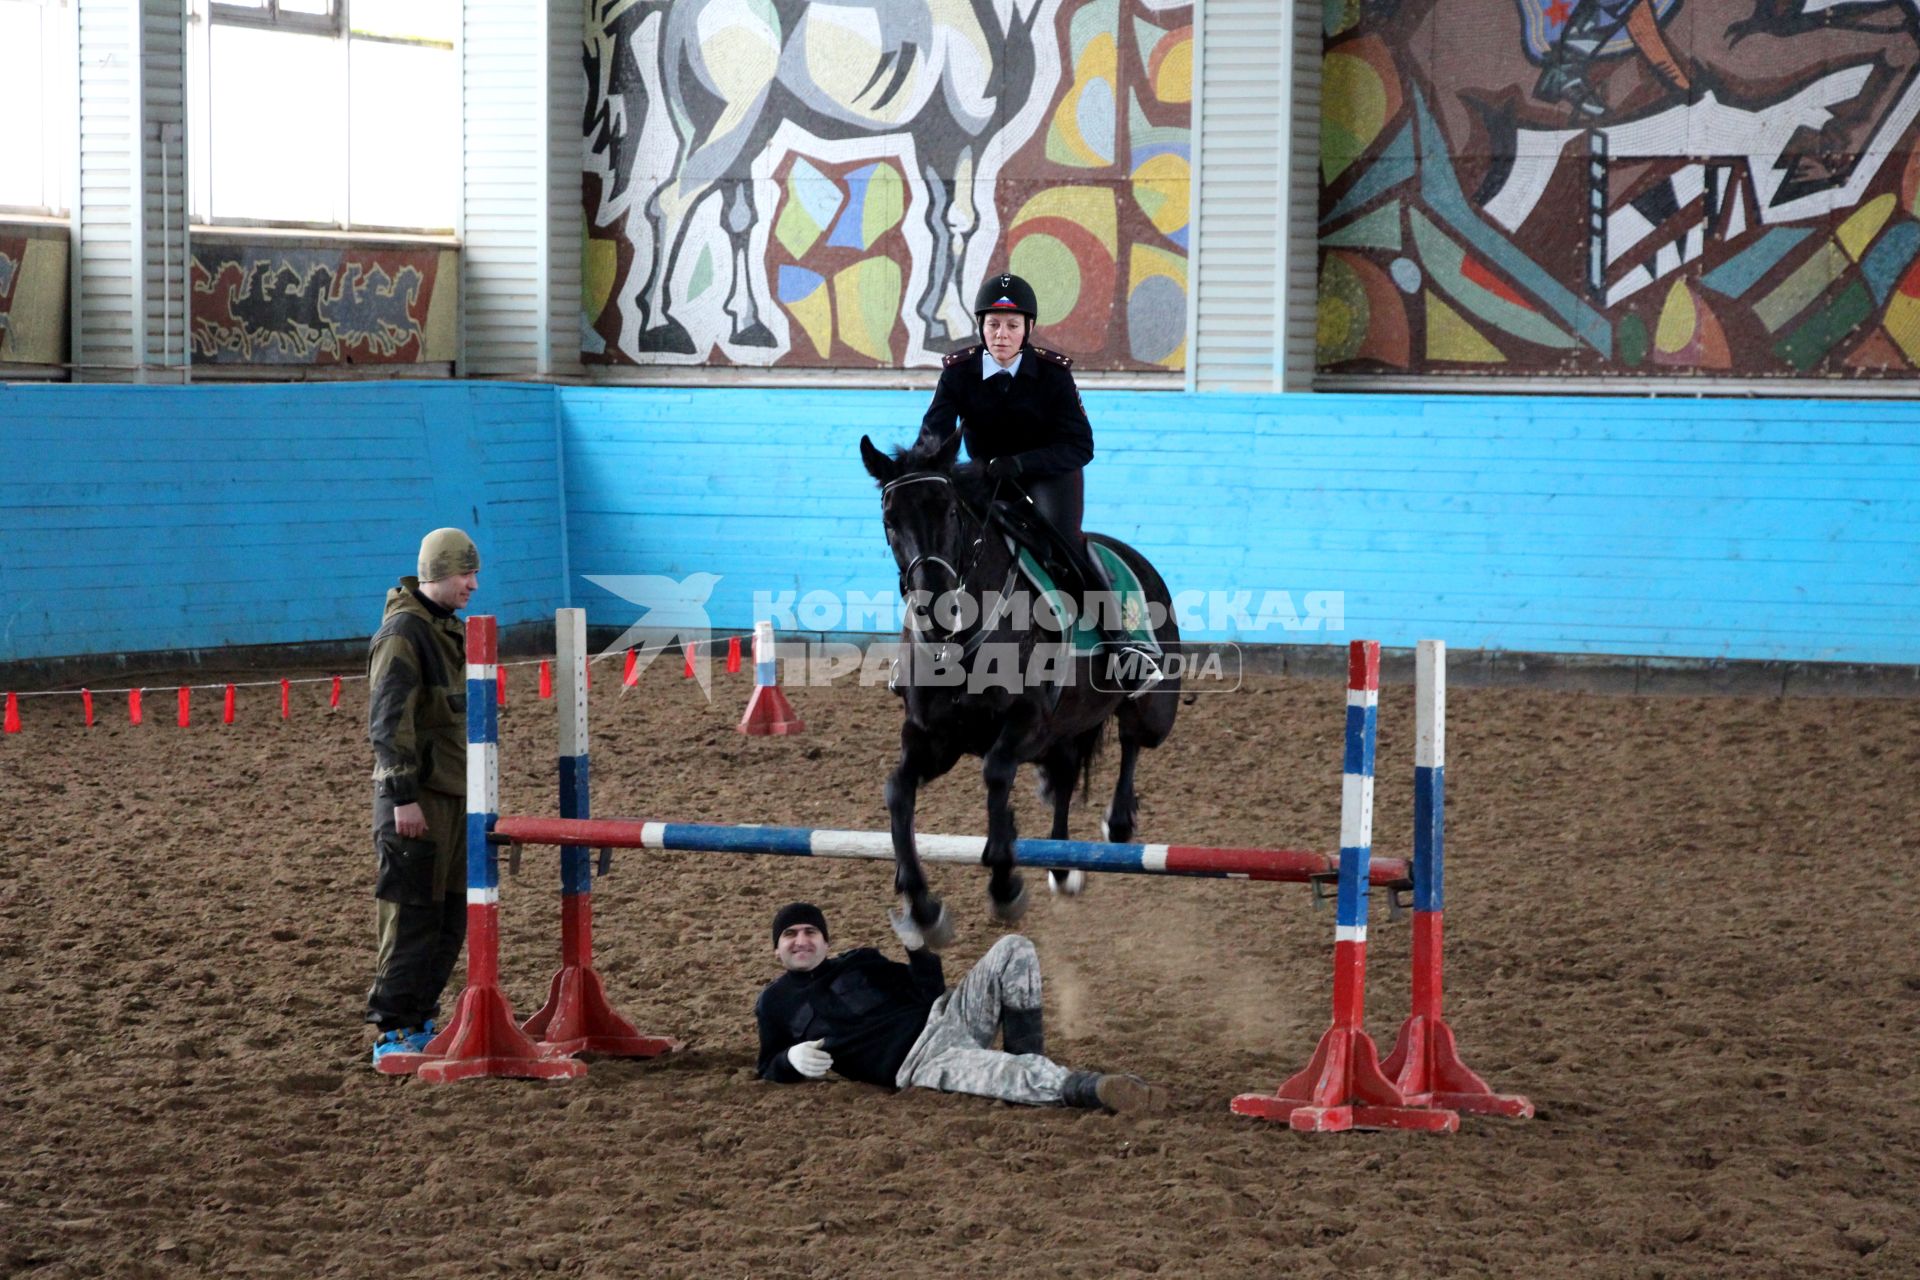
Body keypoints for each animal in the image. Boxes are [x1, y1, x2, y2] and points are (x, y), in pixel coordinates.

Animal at [864, 435, 1175, 948]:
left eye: (950, 510)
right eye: (890, 520)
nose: (936, 605)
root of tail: (1133, 557)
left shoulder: (1028, 723)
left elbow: (995, 773)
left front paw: (1005, 883)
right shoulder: (934, 739)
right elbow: (897, 791)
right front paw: (923, 907)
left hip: (1152, 711)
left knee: (1132, 739)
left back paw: (1118, 821)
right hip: (1065, 733)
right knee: (1066, 776)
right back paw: (1062, 867)